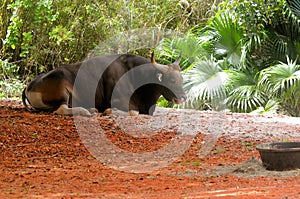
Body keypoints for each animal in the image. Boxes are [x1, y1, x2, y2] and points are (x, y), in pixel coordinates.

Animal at [22, 52, 186, 116]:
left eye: (182, 80)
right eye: (172, 80)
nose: (183, 98)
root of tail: (29, 86)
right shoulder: (120, 101)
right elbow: (133, 112)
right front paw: (108, 111)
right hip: (62, 89)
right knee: (61, 109)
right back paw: (86, 111)